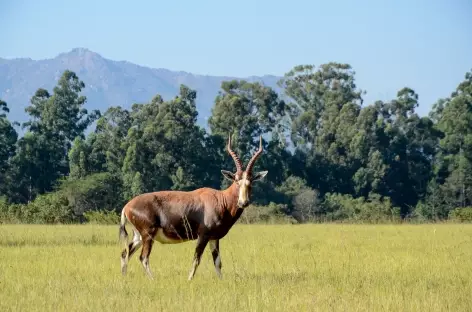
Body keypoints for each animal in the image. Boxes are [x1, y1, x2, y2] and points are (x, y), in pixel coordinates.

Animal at [120, 134, 268, 280]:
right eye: (236, 181)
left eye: (250, 182)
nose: (243, 202)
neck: (221, 199)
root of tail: (127, 207)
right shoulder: (203, 236)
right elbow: (196, 259)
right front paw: (189, 280)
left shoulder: (214, 238)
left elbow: (217, 262)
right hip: (148, 235)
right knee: (143, 257)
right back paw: (153, 280)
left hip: (138, 237)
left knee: (125, 253)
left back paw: (124, 278)